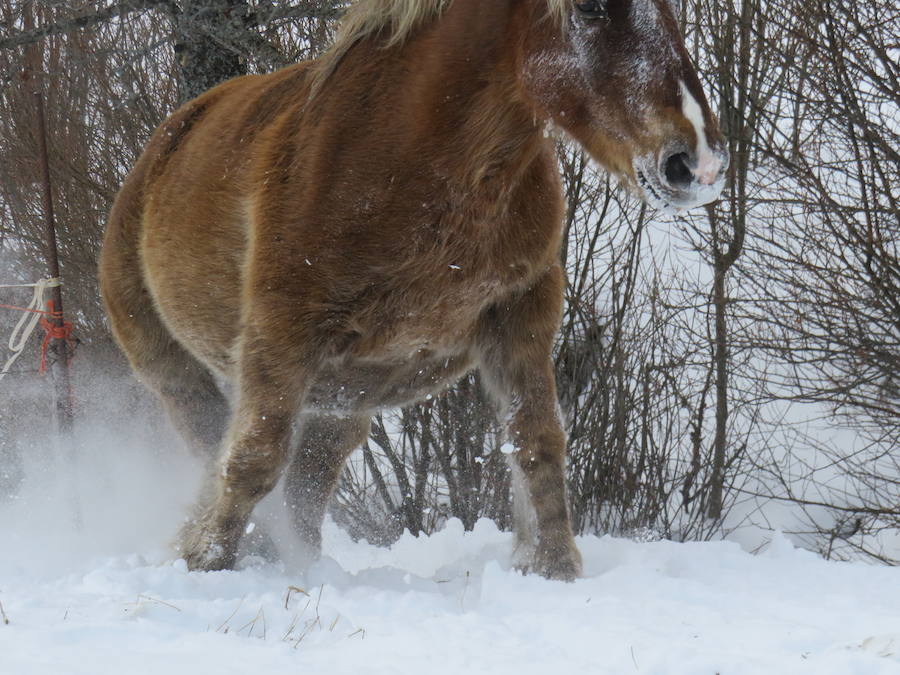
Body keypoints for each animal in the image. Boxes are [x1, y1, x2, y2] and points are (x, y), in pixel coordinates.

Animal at [102, 0, 728, 580]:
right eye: (591, 7)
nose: (698, 163)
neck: (413, 163)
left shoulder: (520, 314)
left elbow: (537, 440)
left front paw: (553, 568)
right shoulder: (280, 332)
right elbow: (252, 457)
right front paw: (205, 562)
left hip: (342, 401)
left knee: (307, 486)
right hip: (176, 372)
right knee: (219, 451)